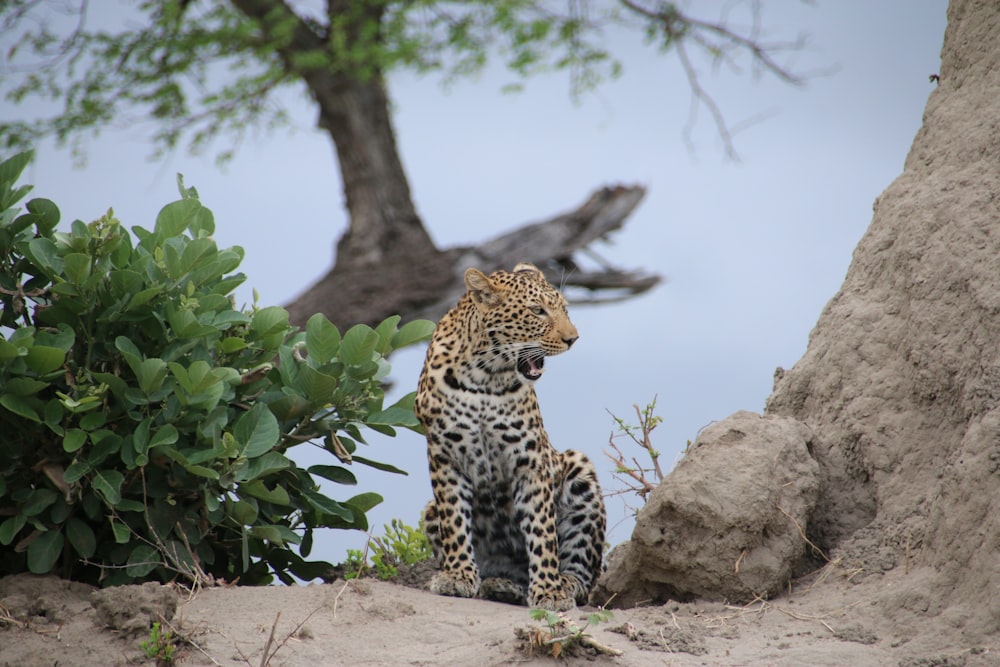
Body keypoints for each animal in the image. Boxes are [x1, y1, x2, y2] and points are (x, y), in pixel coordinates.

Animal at [412, 260, 604, 612]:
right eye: (538, 311)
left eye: (565, 309)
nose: (573, 338)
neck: (484, 376)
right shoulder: (444, 455)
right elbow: (454, 520)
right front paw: (458, 576)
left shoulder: (531, 459)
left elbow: (542, 531)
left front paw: (549, 591)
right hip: (430, 510)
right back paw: (500, 585)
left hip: (579, 472)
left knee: (584, 577)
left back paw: (562, 584)